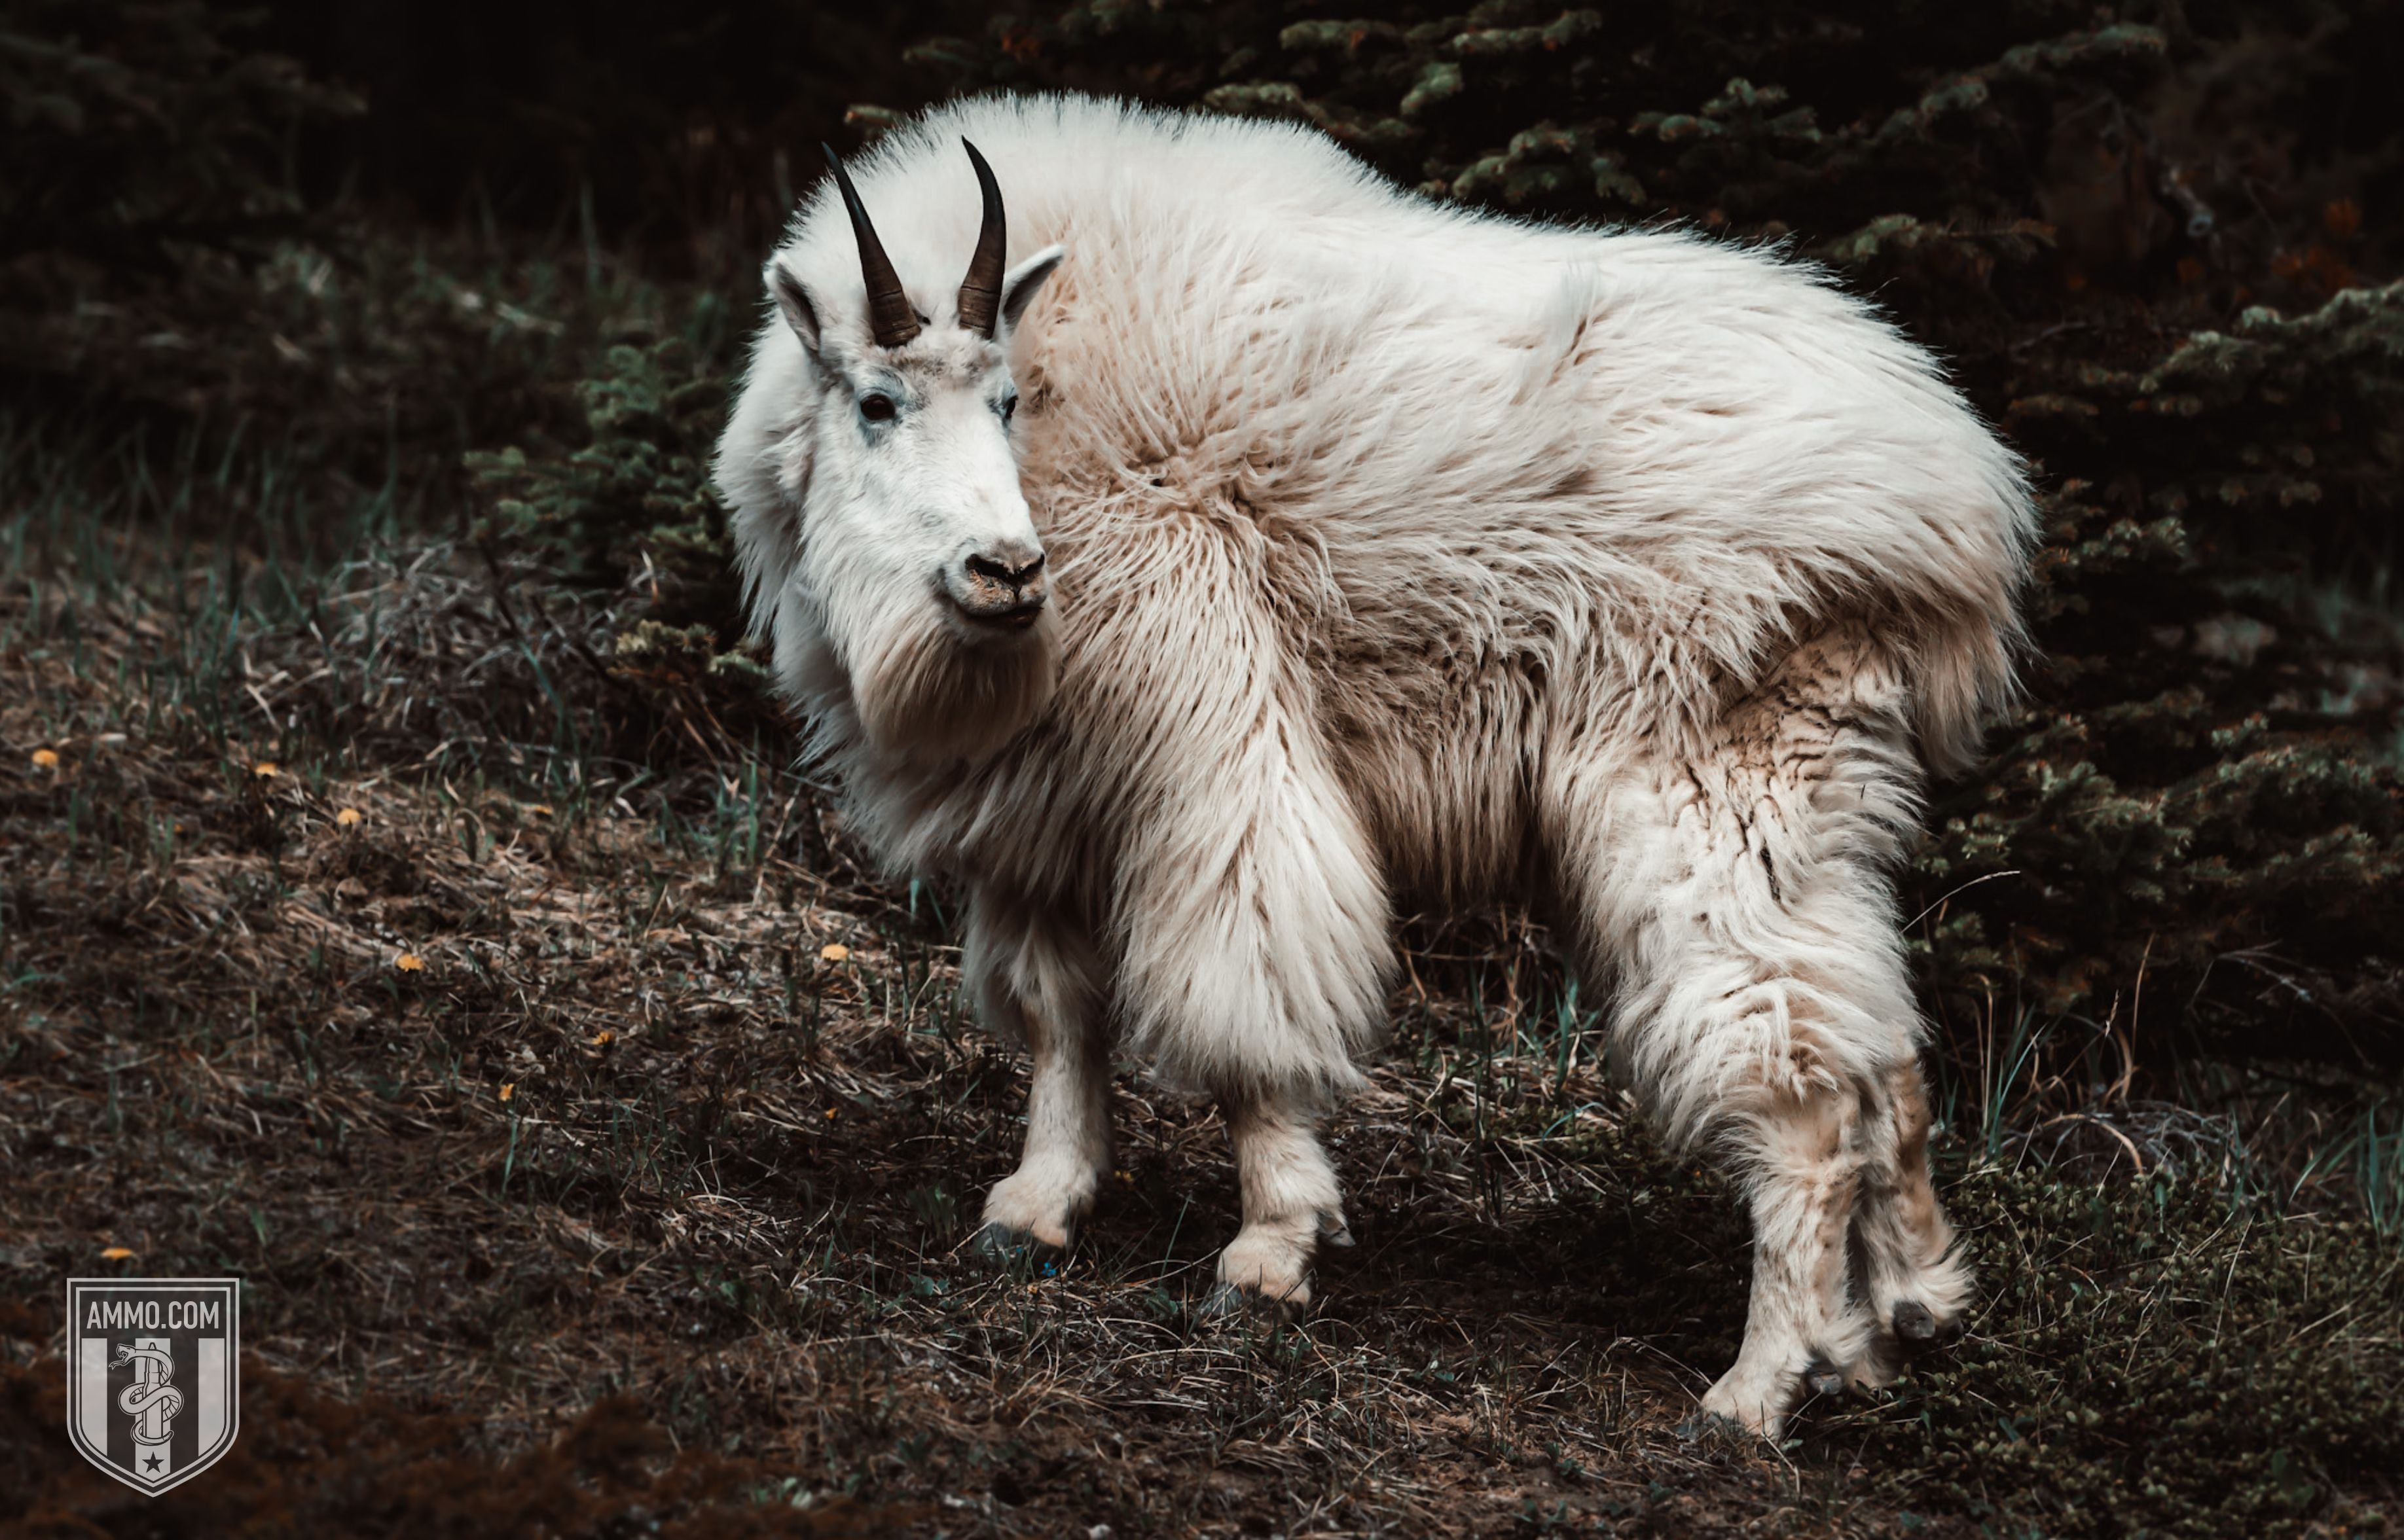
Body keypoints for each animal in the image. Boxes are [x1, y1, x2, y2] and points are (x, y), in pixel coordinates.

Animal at [711, 90, 2029, 1431]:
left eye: (1004, 402)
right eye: (876, 402)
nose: (1006, 573)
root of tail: (1954, 499)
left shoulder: (1214, 740)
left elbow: (1246, 994)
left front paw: (1268, 1252)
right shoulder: (1037, 808)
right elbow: (1058, 1009)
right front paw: (1036, 1207)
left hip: (1702, 790)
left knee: (1802, 1090)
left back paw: (1756, 1388)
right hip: (1813, 794)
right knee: (1881, 1054)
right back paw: (1896, 1320)